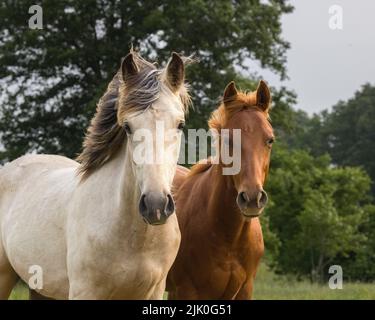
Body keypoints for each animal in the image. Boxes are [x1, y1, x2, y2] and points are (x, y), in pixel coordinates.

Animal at [0, 50, 189, 300]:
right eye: (127, 127)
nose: (155, 205)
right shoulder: (85, 291)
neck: (136, 238)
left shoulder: (154, 292)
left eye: (180, 125)